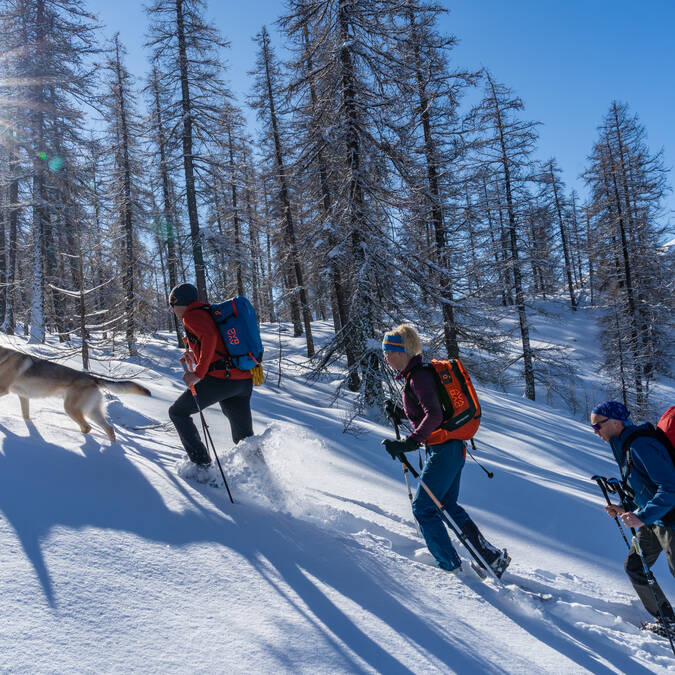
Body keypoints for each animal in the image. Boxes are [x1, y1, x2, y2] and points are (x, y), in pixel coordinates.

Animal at [0, 346, 152, 440]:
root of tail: (93, 378)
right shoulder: (23, 397)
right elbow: (26, 417)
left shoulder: (3, 389)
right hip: (92, 412)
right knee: (109, 429)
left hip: (71, 409)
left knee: (87, 427)